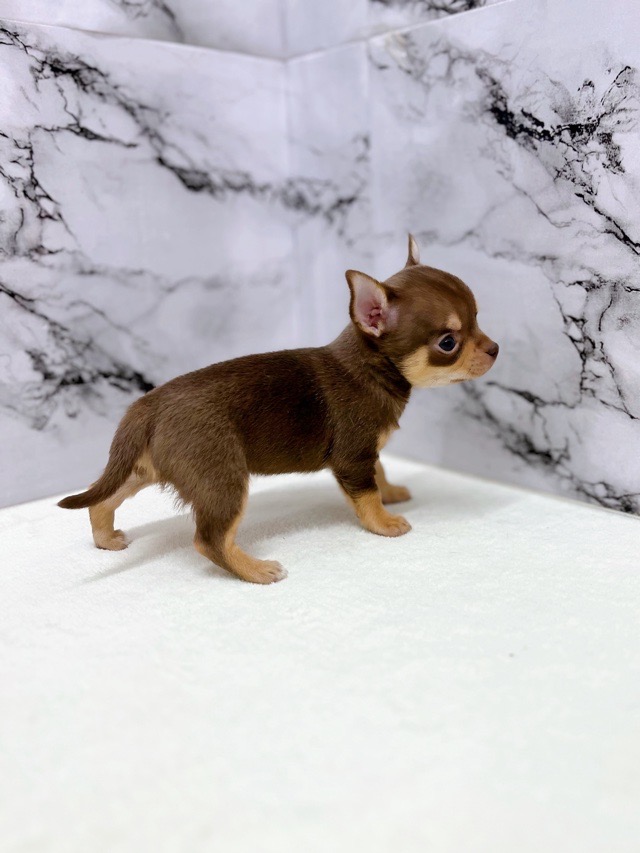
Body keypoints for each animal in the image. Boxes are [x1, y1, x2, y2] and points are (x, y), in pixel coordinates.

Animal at [59, 235, 499, 583]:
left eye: (479, 318)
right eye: (448, 343)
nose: (495, 348)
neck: (370, 367)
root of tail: (147, 405)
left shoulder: (366, 452)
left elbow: (380, 472)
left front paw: (392, 493)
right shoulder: (352, 455)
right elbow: (366, 494)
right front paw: (385, 523)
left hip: (142, 468)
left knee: (101, 500)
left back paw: (106, 540)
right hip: (223, 480)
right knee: (208, 539)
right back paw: (255, 570)